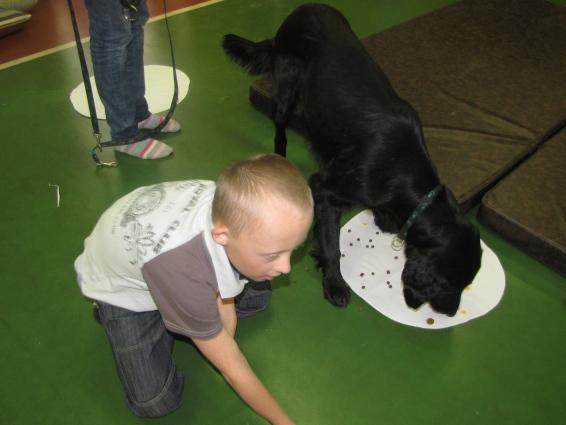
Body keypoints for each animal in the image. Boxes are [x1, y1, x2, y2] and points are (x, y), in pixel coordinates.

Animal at [224, 2, 482, 314]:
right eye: (447, 283)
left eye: (466, 284)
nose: (450, 312)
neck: (402, 171)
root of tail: (300, 10)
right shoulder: (326, 190)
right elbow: (332, 246)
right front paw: (335, 283)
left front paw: (383, 218)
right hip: (286, 85)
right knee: (280, 130)